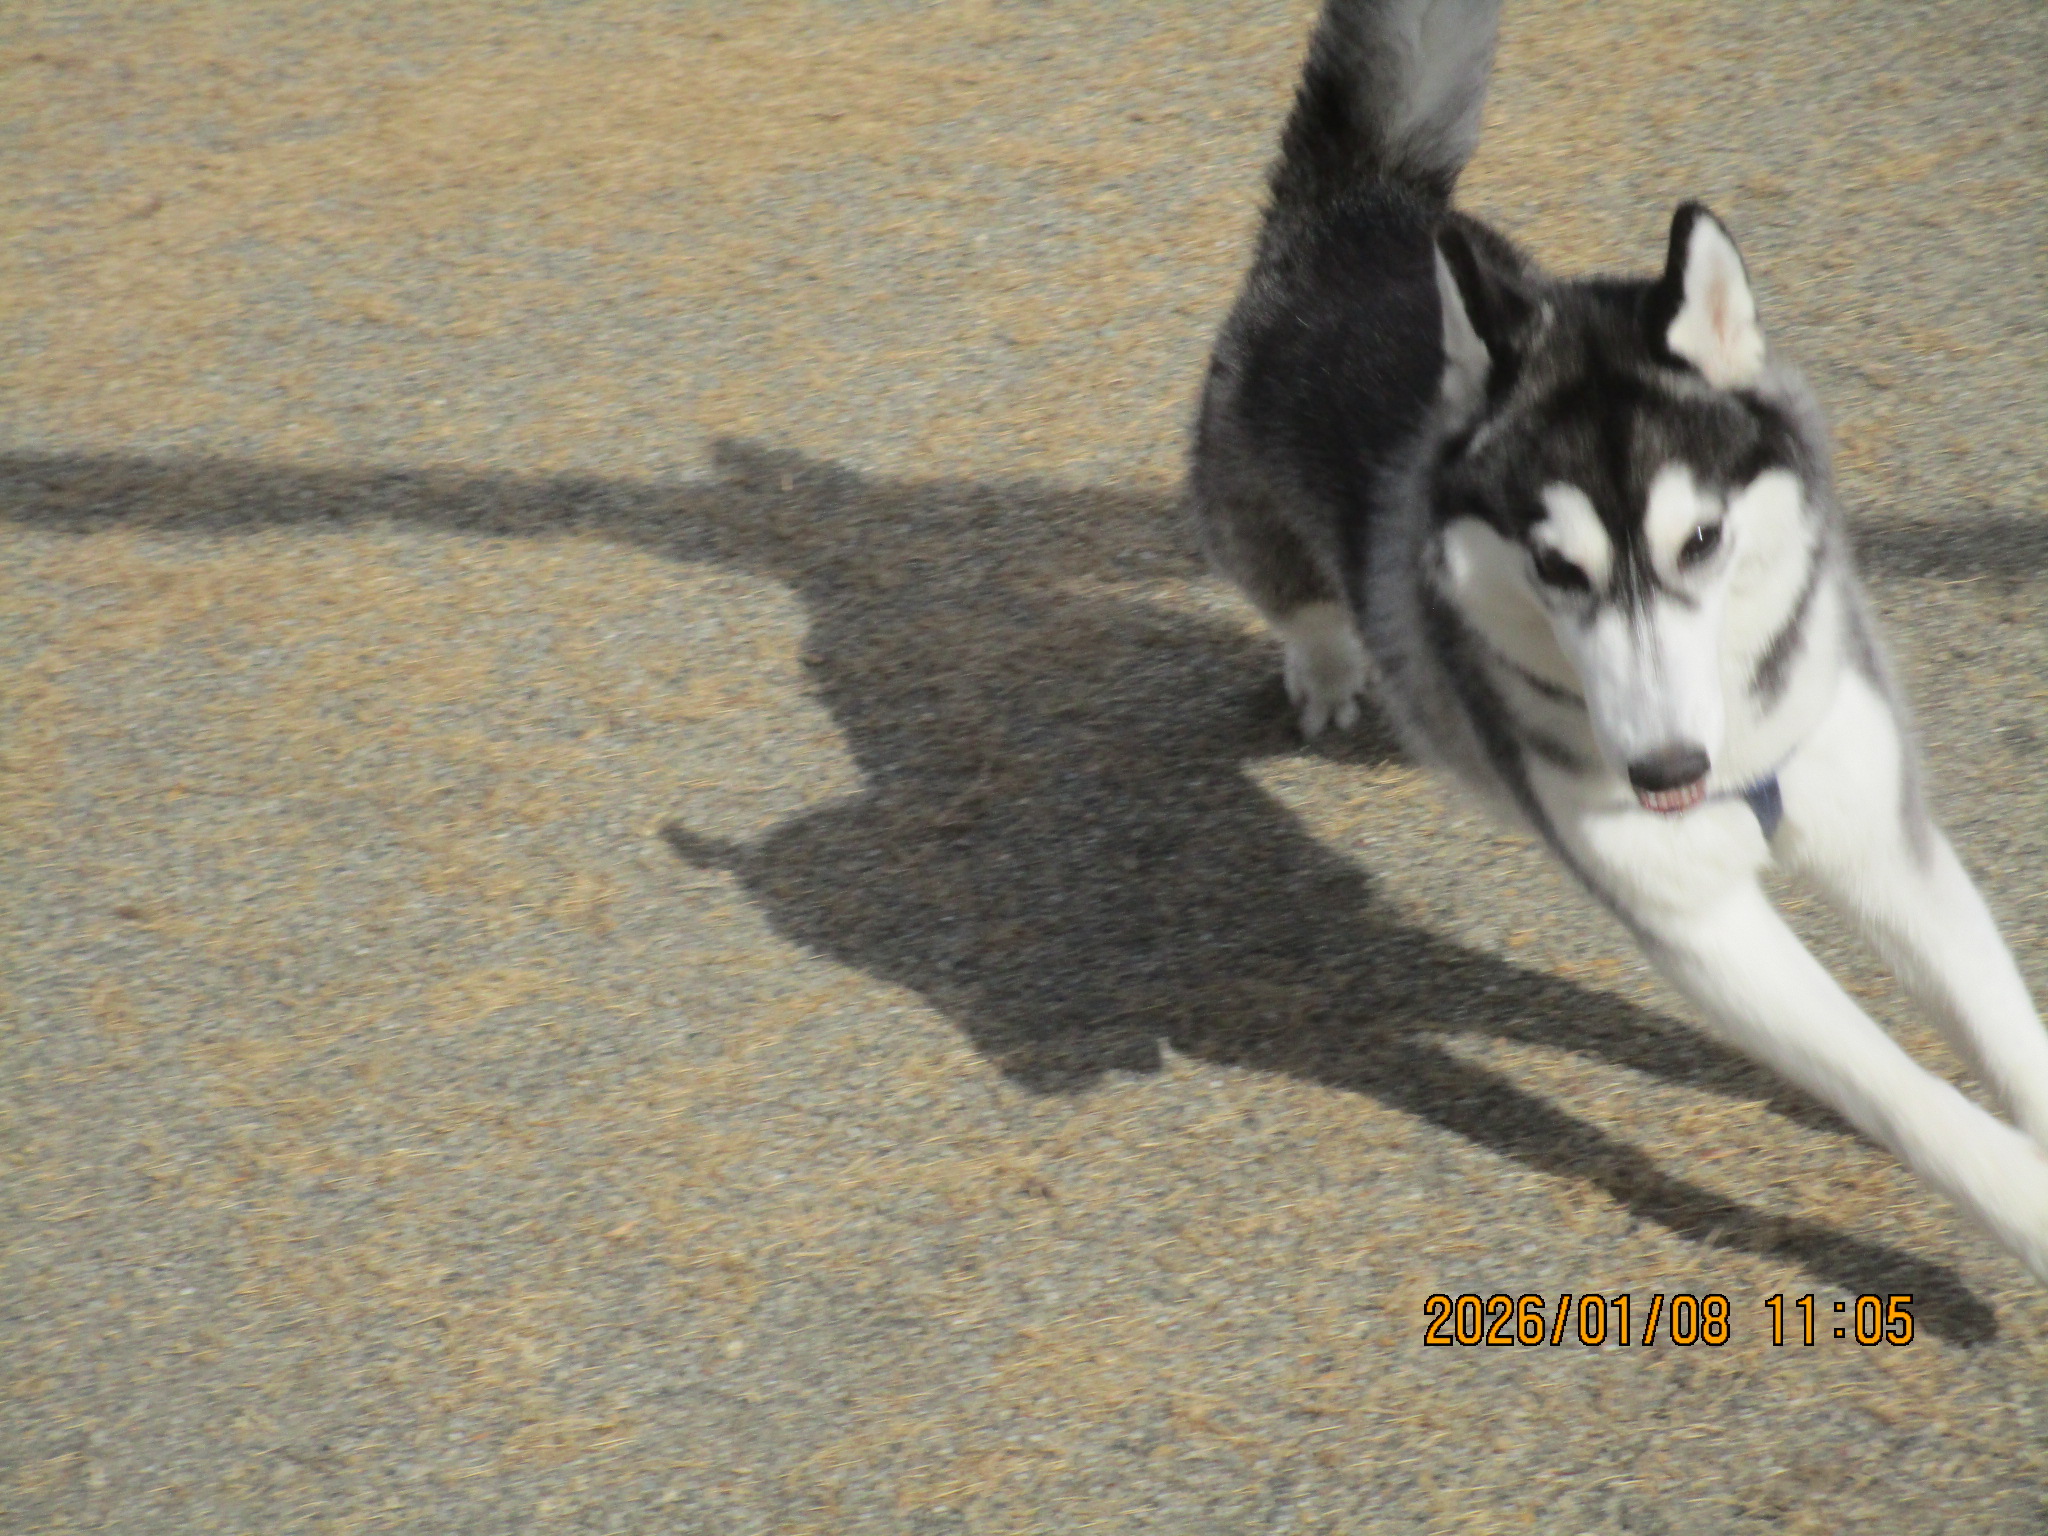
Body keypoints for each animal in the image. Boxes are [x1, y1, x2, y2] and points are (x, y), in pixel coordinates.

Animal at [1191, 0, 2048, 1282]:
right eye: (1554, 568)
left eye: (1701, 540)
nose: (1664, 772)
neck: (1741, 751)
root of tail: (1353, 211)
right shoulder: (1698, 925)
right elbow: (1895, 1087)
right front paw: (2022, 1206)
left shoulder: (1883, 838)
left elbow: (2002, 1032)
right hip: (1253, 523)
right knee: (1302, 603)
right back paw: (1332, 667)